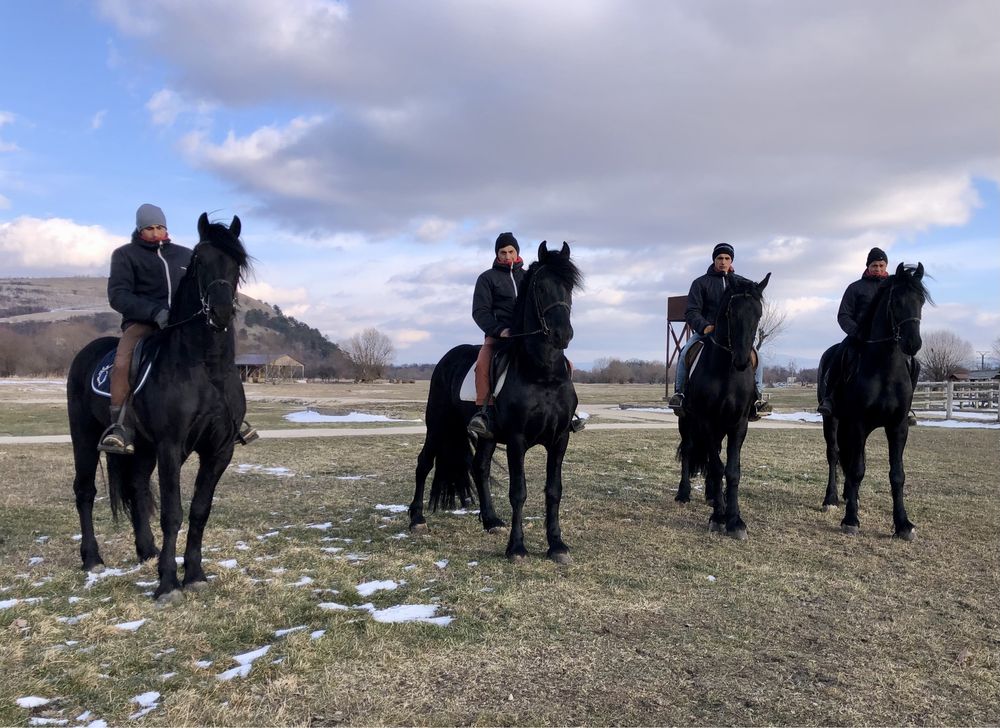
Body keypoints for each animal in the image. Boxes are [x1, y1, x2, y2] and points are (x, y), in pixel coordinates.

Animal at [67, 213, 252, 600]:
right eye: (198, 260)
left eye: (237, 262)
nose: (221, 311)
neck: (207, 367)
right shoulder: (171, 446)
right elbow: (172, 513)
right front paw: (168, 583)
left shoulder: (219, 450)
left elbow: (199, 511)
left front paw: (194, 574)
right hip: (85, 436)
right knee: (85, 491)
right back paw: (92, 558)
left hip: (143, 448)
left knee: (137, 487)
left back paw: (146, 550)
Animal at [408, 242, 584, 560]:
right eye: (541, 287)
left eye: (569, 288)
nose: (562, 334)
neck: (542, 374)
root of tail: (446, 358)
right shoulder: (516, 439)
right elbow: (519, 492)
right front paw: (517, 548)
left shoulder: (560, 438)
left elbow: (554, 491)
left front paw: (556, 545)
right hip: (438, 425)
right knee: (424, 462)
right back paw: (416, 519)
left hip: (487, 436)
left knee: (479, 468)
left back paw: (491, 521)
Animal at [672, 270, 772, 536]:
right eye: (731, 313)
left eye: (758, 314)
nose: (741, 361)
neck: (726, 371)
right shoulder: (706, 421)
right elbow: (717, 468)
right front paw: (718, 517)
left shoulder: (738, 424)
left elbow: (732, 470)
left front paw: (734, 519)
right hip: (687, 422)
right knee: (690, 451)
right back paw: (684, 494)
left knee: (713, 452)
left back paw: (712, 496)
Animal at [820, 264, 928, 540]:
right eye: (897, 300)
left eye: (921, 300)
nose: (913, 343)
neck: (885, 369)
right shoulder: (858, 422)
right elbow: (857, 468)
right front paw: (851, 519)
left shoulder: (898, 426)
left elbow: (897, 474)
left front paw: (903, 524)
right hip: (832, 420)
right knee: (835, 454)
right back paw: (831, 499)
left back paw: (850, 495)